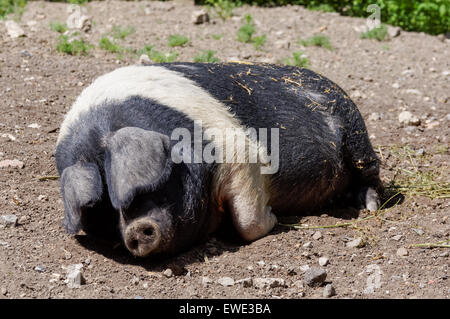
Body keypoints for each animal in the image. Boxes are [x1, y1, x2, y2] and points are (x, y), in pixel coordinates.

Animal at [54, 62, 382, 258]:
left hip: (356, 132)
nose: (134, 231)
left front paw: (274, 218)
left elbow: (249, 219)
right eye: (105, 216)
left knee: (370, 172)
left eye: (140, 192)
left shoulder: (238, 150)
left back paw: (368, 205)